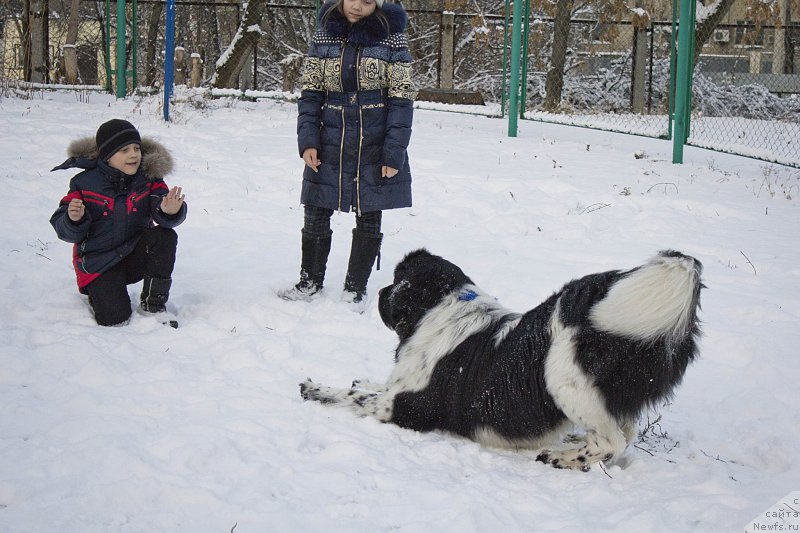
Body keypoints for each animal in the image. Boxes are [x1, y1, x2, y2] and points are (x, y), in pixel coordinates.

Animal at [298, 249, 700, 470]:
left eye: (397, 281)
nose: (380, 292)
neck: (441, 309)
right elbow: (373, 386)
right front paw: (359, 380)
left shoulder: (407, 408)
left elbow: (357, 397)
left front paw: (317, 389)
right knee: (623, 432)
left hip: (563, 378)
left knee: (613, 439)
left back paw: (564, 458)